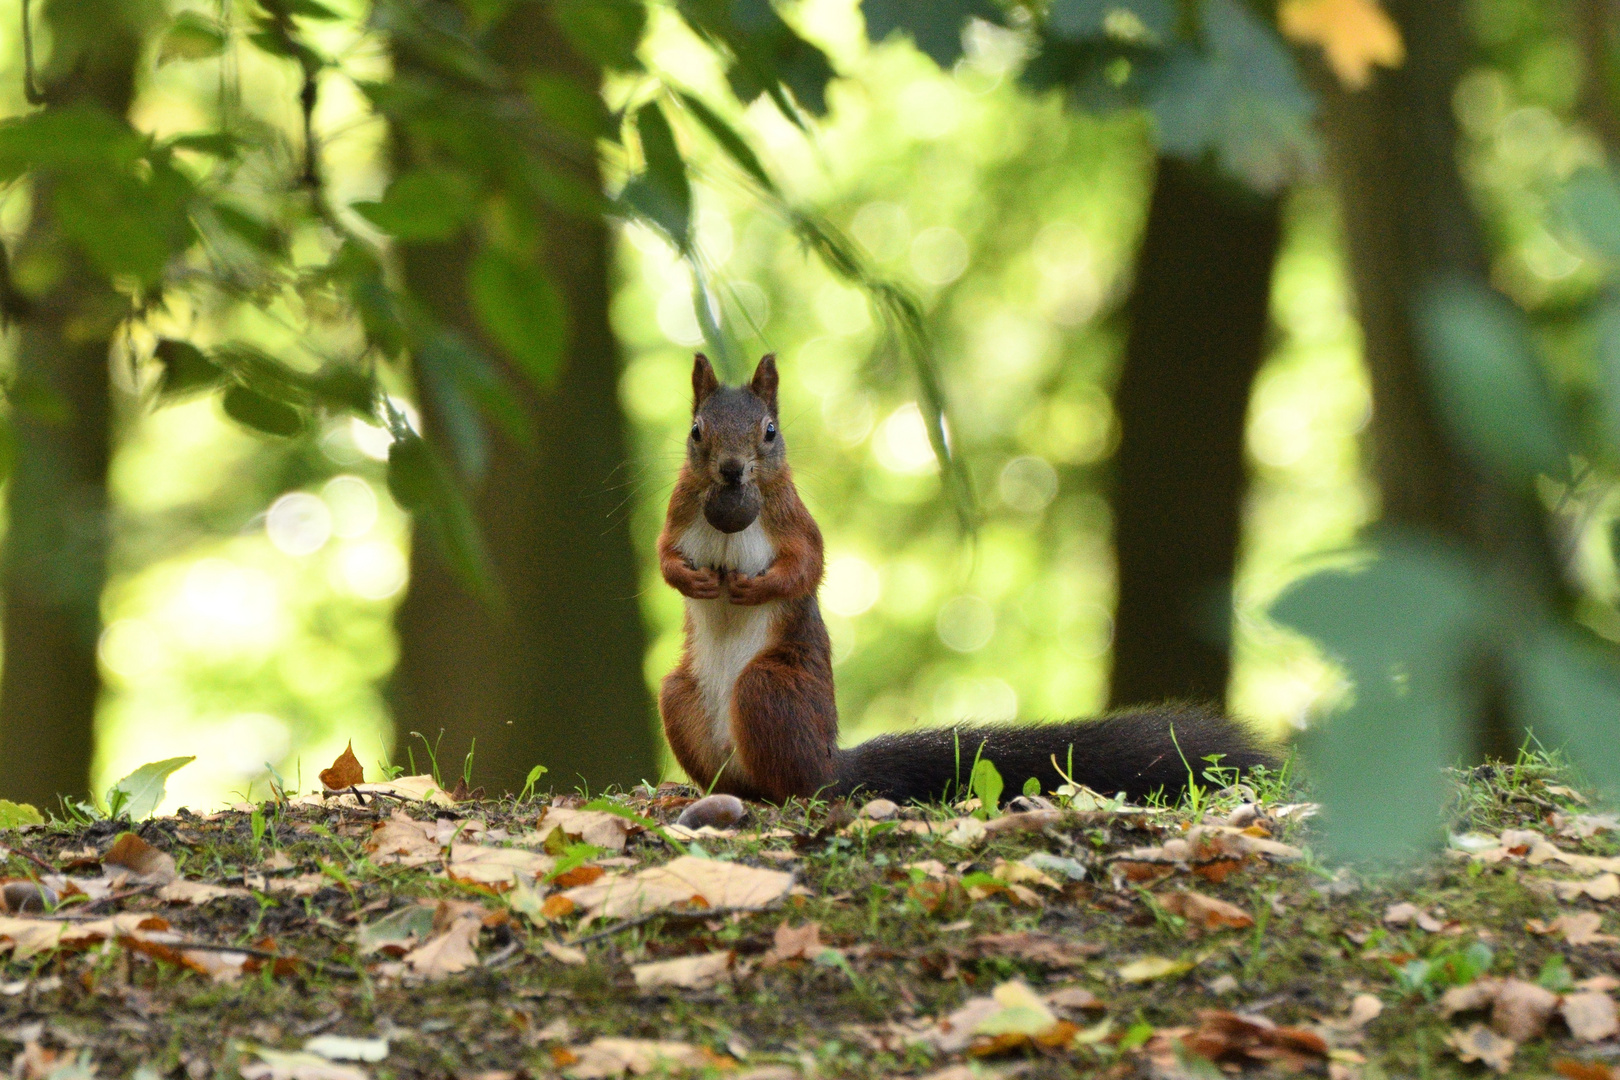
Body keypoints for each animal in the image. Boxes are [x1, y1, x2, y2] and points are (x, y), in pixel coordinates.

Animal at [651, 351, 1270, 806]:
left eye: (770, 431)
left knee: (801, 786)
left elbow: (808, 565)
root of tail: (834, 762)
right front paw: (692, 581)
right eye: (696, 429)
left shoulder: (793, 519)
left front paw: (754, 587)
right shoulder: (678, 512)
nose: (732, 470)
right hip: (680, 695)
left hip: (770, 691)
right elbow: (664, 557)